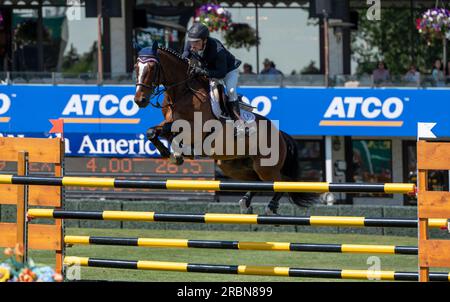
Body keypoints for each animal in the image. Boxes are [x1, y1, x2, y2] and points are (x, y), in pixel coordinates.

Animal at [134, 41, 316, 214]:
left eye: (152, 67)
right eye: (136, 67)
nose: (139, 100)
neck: (182, 93)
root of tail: (281, 134)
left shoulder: (197, 129)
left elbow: (174, 134)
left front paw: (177, 153)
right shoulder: (168, 122)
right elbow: (153, 132)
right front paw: (172, 154)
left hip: (266, 167)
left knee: (281, 182)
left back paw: (270, 206)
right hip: (232, 166)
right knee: (258, 182)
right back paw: (245, 202)